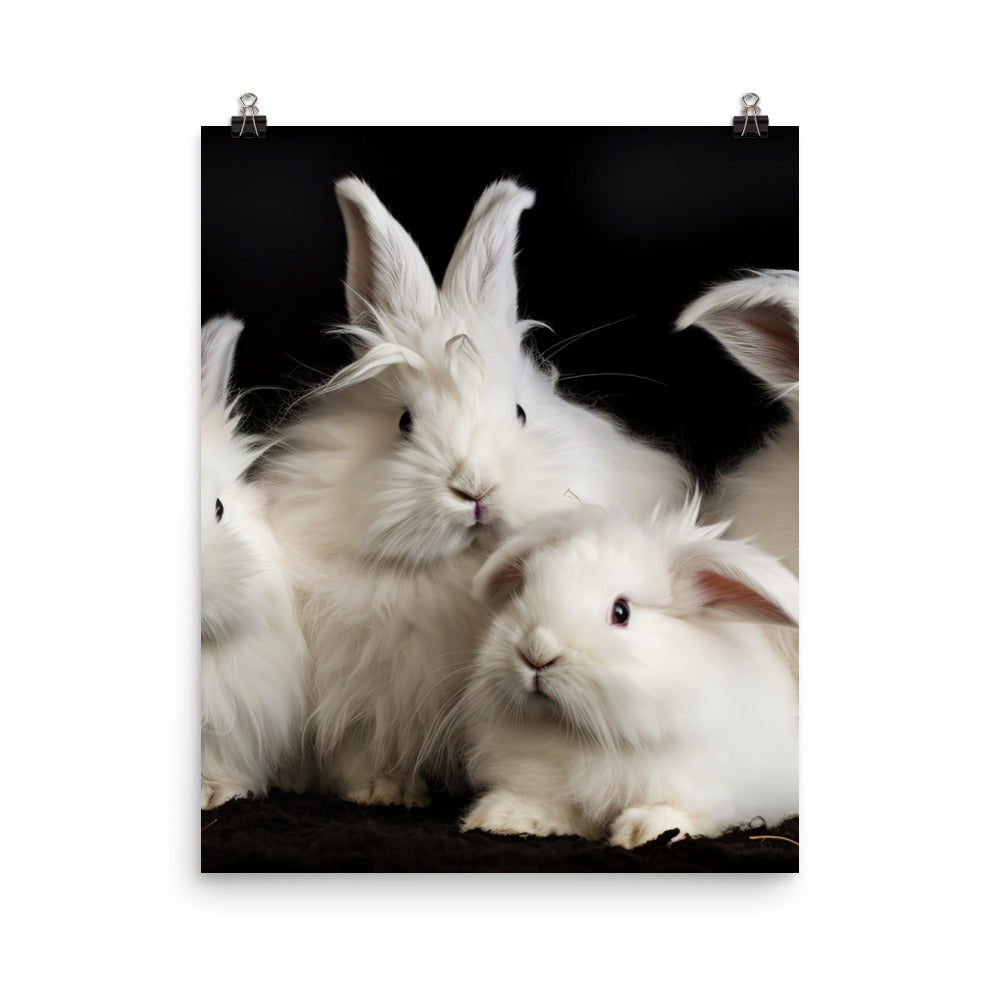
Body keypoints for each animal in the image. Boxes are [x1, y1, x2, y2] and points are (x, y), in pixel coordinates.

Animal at [260, 177, 694, 807]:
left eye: (520, 413)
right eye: (404, 423)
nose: (474, 488)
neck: (461, 572)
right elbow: (358, 747)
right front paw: (381, 789)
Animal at [458, 499, 799, 848]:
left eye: (621, 612)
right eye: (524, 590)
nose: (536, 652)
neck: (586, 736)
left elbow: (683, 809)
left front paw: (644, 831)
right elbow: (547, 803)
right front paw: (501, 818)